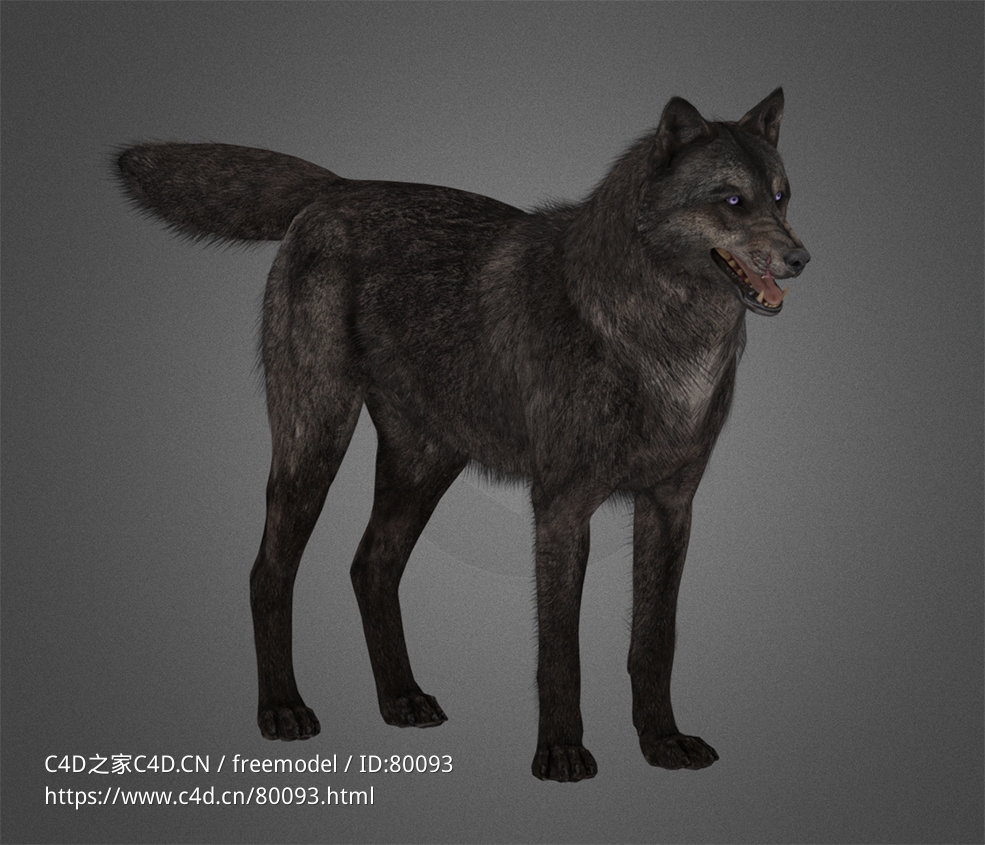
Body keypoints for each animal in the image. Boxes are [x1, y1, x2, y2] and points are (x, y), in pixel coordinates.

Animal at [116, 89, 809, 781]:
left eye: (781, 196)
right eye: (732, 200)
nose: (801, 258)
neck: (657, 337)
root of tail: (337, 189)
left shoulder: (670, 506)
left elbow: (655, 640)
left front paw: (663, 742)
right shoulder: (561, 508)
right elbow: (561, 650)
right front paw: (561, 753)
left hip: (423, 467)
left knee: (370, 566)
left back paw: (401, 699)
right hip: (315, 445)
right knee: (269, 573)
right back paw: (282, 709)